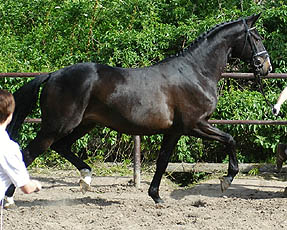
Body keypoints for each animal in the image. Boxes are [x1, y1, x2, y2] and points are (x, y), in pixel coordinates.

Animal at [6, 14, 272, 204]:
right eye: (256, 37)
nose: (266, 66)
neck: (196, 73)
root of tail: (52, 75)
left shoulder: (174, 131)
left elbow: (163, 161)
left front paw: (156, 196)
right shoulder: (195, 125)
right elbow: (230, 139)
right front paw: (226, 180)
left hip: (84, 124)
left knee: (61, 147)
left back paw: (86, 178)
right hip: (57, 126)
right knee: (28, 153)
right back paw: (9, 199)